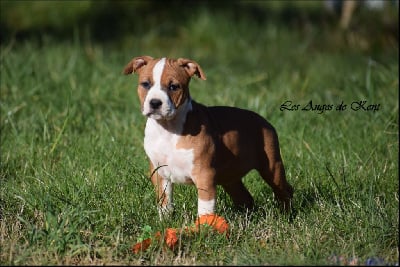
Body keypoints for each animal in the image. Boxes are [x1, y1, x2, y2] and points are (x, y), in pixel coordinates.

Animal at [123, 56, 292, 218]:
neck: (168, 129)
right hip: (229, 176)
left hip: (271, 166)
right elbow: (165, 202)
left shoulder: (204, 174)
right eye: (145, 84)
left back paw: (286, 216)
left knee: (284, 190)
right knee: (245, 197)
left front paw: (204, 226)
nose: (155, 103)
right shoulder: (160, 173)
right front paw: (164, 221)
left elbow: (205, 207)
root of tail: (264, 121)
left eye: (173, 87)